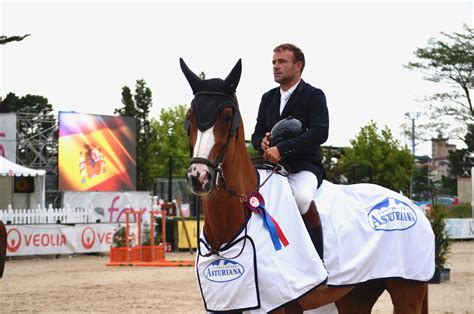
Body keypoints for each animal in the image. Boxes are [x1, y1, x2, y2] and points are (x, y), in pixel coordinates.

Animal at [180, 58, 432, 312]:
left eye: (225, 116)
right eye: (189, 117)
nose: (198, 176)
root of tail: (410, 203)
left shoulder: (280, 304)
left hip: (407, 290)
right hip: (356, 294)